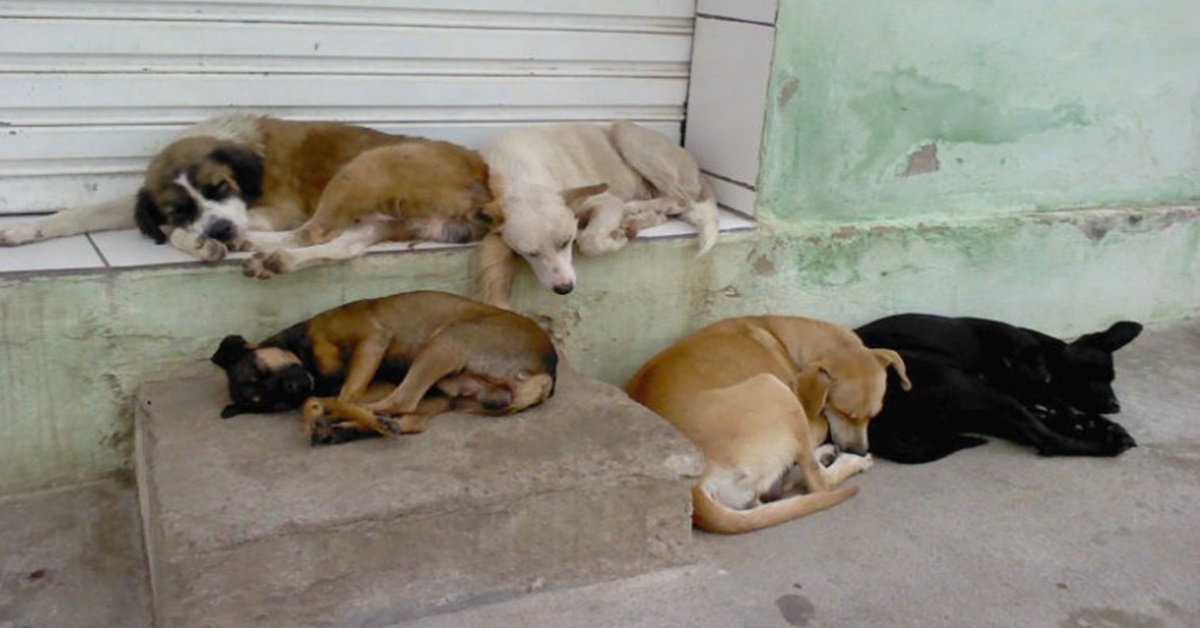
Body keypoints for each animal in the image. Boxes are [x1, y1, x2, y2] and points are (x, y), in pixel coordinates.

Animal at [0, 114, 492, 276]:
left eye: (220, 188)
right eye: (179, 206)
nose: (217, 228)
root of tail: (483, 176)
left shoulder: (280, 209)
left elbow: (186, 233)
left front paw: (199, 241)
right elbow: (82, 211)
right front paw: (25, 229)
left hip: (363, 169)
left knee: (314, 232)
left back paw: (250, 245)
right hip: (380, 216)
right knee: (341, 246)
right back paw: (273, 257)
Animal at [477, 121, 720, 307]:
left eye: (566, 242)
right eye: (529, 253)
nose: (564, 289)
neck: (519, 175)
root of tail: (697, 168)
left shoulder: (605, 201)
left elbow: (590, 239)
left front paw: (615, 239)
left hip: (624, 131)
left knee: (681, 200)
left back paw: (634, 208)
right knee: (664, 213)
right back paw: (634, 219)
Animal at [628, 317, 907, 533]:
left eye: (874, 415)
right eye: (843, 412)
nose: (860, 449)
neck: (787, 341)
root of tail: (694, 483)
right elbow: (824, 427)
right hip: (774, 388)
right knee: (818, 483)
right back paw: (849, 461)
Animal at [854, 312, 1142, 463]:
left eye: (1111, 378)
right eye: (1098, 377)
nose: (1116, 406)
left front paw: (1091, 423)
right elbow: (1060, 407)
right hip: (975, 391)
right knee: (1048, 440)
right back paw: (1107, 443)